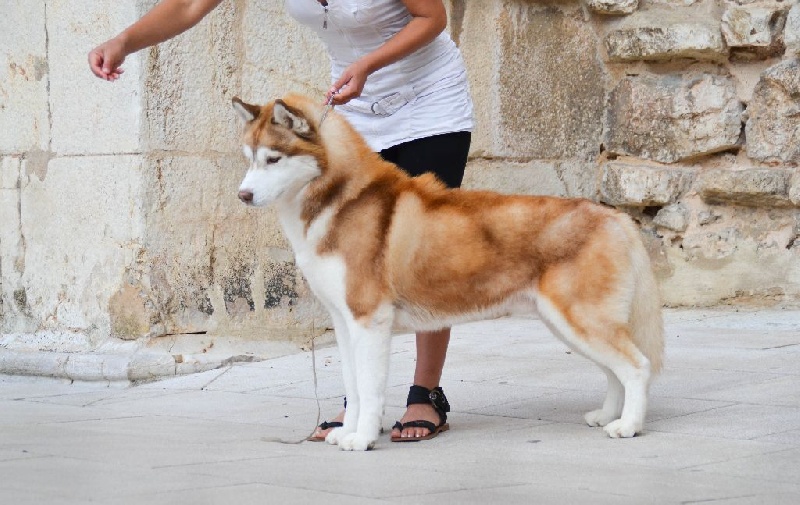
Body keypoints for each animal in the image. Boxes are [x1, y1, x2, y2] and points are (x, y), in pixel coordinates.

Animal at [233, 93, 664, 451]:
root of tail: (613, 215)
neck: (337, 202)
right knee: (615, 371)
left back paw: (628, 426)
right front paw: (346, 431)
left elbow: (369, 390)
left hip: (580, 319)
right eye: (249, 157)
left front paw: (363, 438)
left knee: (637, 367)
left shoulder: (370, 321)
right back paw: (607, 415)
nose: (243, 195)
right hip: (568, 324)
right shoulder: (344, 322)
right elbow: (353, 388)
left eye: (274, 159)